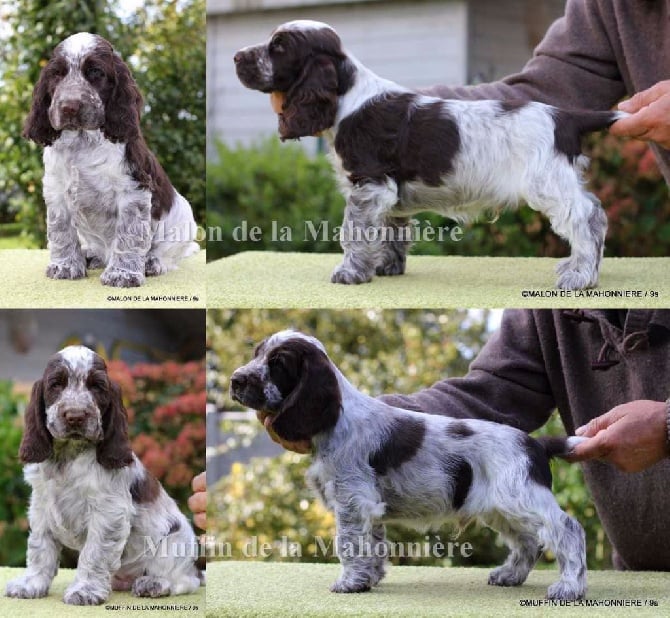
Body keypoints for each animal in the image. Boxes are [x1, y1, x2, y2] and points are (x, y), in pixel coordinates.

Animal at [5, 344, 202, 604]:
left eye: (96, 386)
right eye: (56, 384)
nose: (76, 416)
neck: (68, 456)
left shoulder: (108, 512)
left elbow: (94, 553)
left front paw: (85, 590)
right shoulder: (41, 507)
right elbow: (39, 549)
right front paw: (30, 585)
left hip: (175, 542)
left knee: (186, 580)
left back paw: (154, 583)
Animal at [24, 31, 202, 286]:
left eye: (96, 72)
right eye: (56, 74)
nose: (69, 107)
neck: (82, 142)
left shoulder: (132, 190)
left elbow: (130, 234)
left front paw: (123, 274)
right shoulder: (55, 191)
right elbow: (60, 231)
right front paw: (65, 266)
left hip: (184, 221)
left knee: (169, 252)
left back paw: (152, 262)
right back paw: (91, 256)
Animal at [234, 330, 592, 600]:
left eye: (278, 363)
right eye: (257, 353)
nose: (236, 380)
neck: (336, 419)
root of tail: (536, 443)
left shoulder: (353, 498)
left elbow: (350, 543)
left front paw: (350, 583)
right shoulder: (367, 503)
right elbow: (373, 543)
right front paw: (369, 578)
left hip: (520, 497)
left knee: (568, 530)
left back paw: (569, 587)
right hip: (499, 507)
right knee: (528, 542)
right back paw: (510, 575)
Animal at [235, 19, 632, 288]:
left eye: (279, 47)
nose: (237, 56)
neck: (347, 98)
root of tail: (564, 116)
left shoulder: (370, 183)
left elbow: (355, 231)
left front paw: (350, 272)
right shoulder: (387, 193)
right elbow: (391, 231)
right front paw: (386, 267)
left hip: (546, 182)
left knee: (586, 218)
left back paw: (580, 275)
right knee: (593, 213)